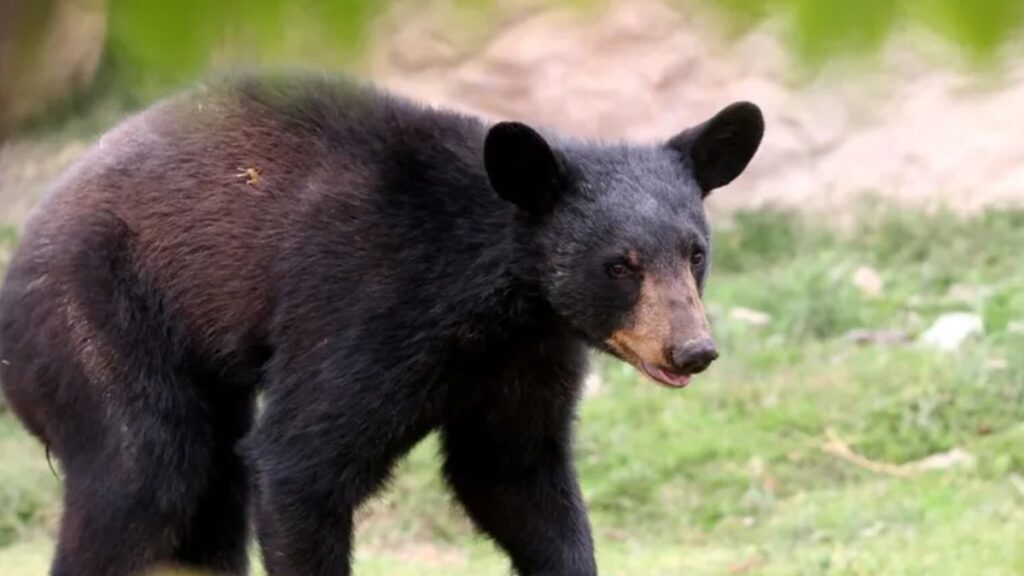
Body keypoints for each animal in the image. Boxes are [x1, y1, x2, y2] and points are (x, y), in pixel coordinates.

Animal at [0, 72, 763, 576]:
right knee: (144, 468)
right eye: (621, 264)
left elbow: (513, 475)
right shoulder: (369, 304)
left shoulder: (527, 358)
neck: (506, 298)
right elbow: (300, 462)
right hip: (97, 313)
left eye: (695, 253)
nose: (693, 350)